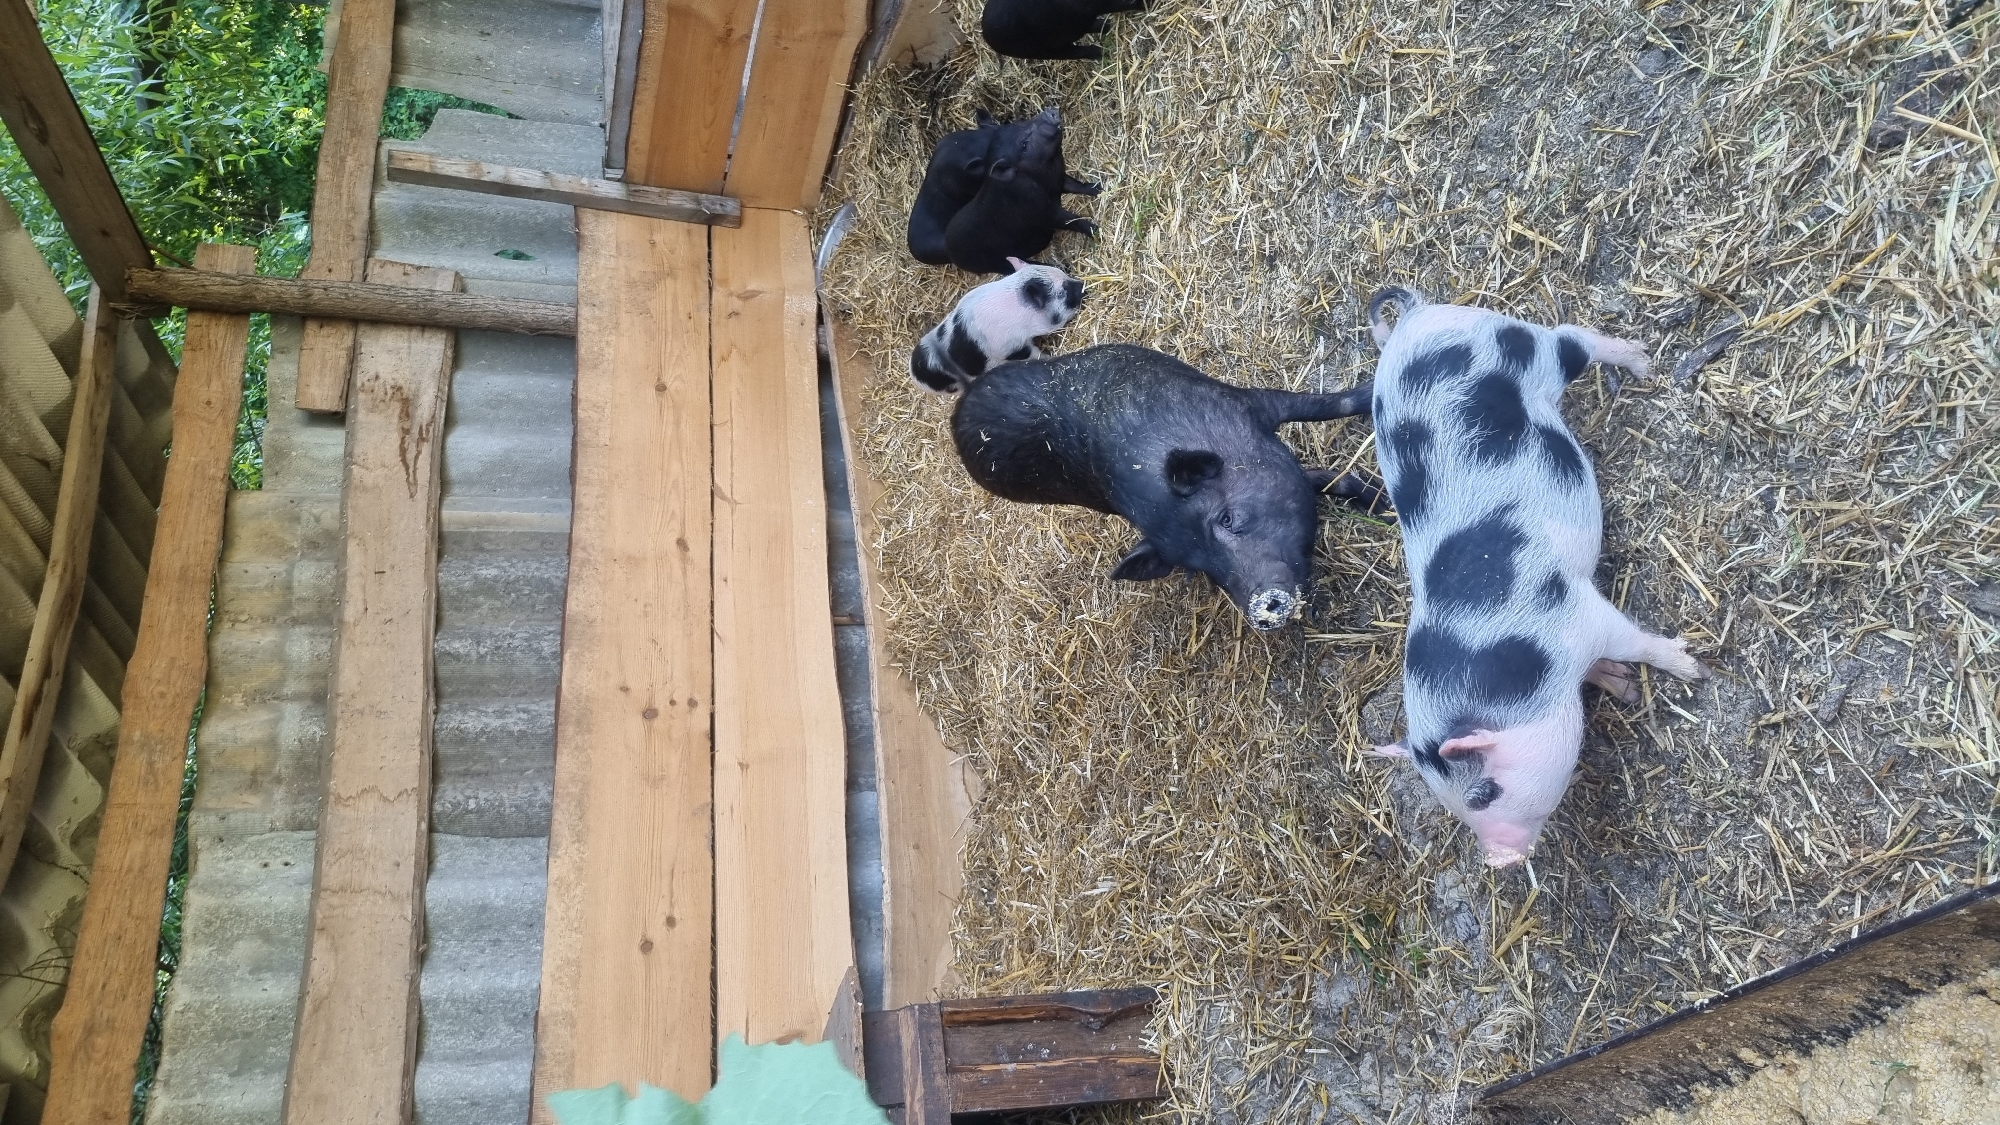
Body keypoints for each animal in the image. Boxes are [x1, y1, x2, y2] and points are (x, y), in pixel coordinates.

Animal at [909, 108, 1101, 267]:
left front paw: (1100, 188)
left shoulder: (1059, 181)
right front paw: (1097, 231)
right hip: (991, 264)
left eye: (1018, 123)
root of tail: (949, 248)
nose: (1049, 112)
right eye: (1024, 144)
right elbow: (1072, 220)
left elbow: (1078, 186)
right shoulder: (1045, 213)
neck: (1043, 179)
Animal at [911, 259, 1086, 393]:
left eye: (1062, 272)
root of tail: (913, 372)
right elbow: (1033, 354)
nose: (1082, 285)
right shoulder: (1012, 349)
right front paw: (1049, 357)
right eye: (1061, 292)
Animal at [951, 344, 1385, 630]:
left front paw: (1380, 503)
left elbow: (1326, 408)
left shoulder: (1248, 403)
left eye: (1228, 519)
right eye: (1200, 567)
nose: (1259, 606)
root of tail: (962, 405)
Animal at [1363, 287, 1707, 867]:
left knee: (1569, 337)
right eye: (1455, 804)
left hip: (1525, 348)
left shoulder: (1579, 613)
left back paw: (1644, 364)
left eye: (1484, 792)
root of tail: (1417, 315)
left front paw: (1693, 671)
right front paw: (1622, 687)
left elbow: (1637, 641)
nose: (1497, 861)